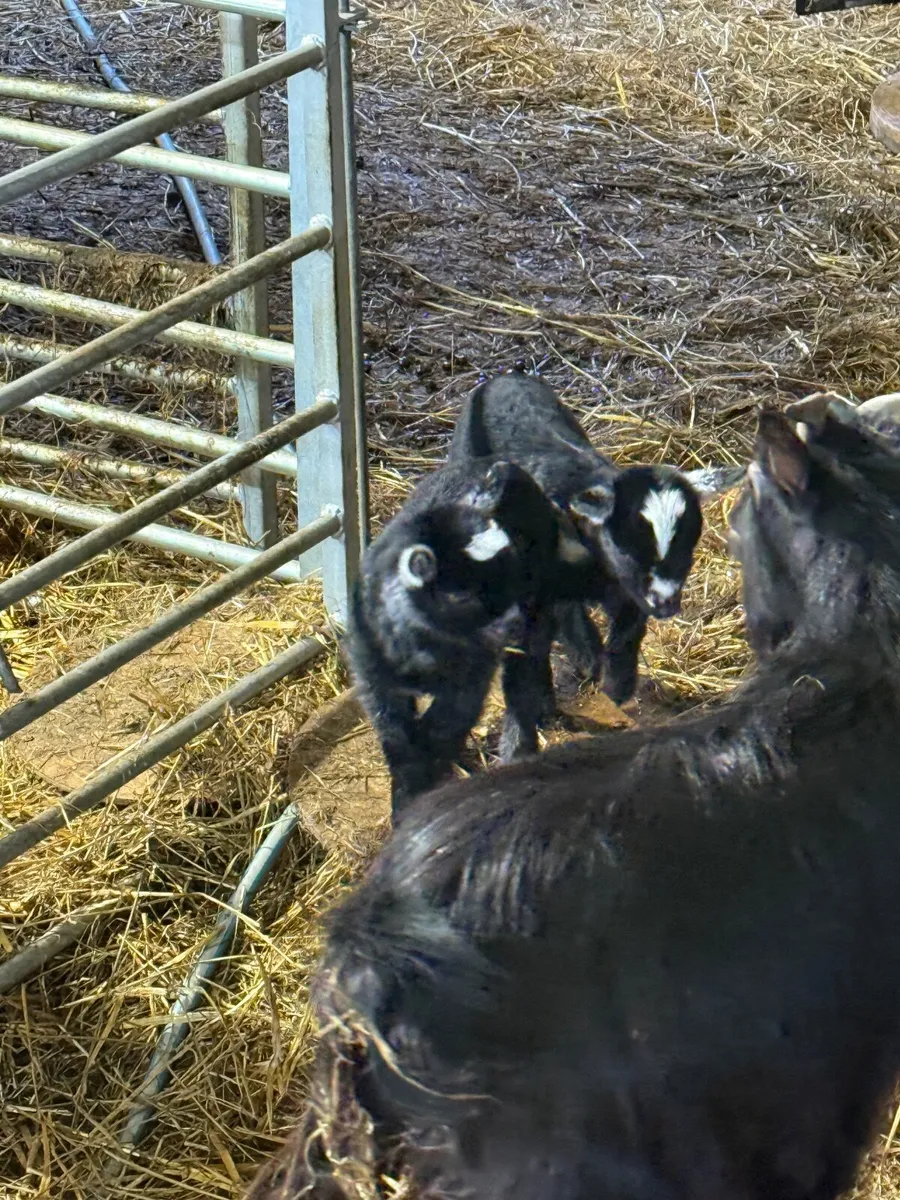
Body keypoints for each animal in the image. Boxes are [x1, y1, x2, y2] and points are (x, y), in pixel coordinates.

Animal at [344, 456, 577, 814]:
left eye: (513, 576)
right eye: (459, 595)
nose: (514, 621)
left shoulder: (469, 680)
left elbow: (442, 727)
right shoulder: (374, 679)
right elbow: (398, 740)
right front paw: (404, 799)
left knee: (523, 680)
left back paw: (520, 750)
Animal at [449, 373, 739, 703]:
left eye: (688, 548)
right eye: (627, 551)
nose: (666, 604)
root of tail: (501, 377)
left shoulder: (629, 591)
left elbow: (626, 633)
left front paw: (618, 687)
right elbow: (568, 617)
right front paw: (589, 660)